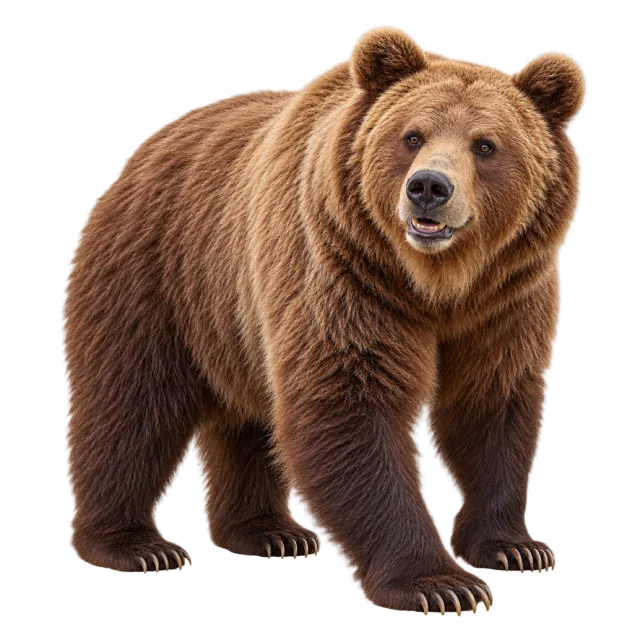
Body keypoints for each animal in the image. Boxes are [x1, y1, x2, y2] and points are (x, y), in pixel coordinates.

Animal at [61, 25, 586, 615]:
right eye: (411, 136)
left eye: (486, 145)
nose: (429, 187)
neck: (436, 284)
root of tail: (144, 149)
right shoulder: (343, 272)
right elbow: (349, 404)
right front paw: (438, 584)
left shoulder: (506, 298)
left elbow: (492, 406)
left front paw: (516, 547)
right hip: (156, 274)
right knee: (130, 402)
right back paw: (136, 546)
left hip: (235, 319)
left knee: (249, 418)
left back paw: (270, 533)